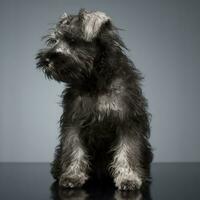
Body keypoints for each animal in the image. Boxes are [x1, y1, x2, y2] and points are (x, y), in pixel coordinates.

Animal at [36, 9, 152, 191]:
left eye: (73, 40)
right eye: (54, 40)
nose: (46, 60)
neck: (95, 82)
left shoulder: (127, 122)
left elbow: (128, 151)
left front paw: (129, 178)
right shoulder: (74, 122)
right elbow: (74, 150)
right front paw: (72, 176)